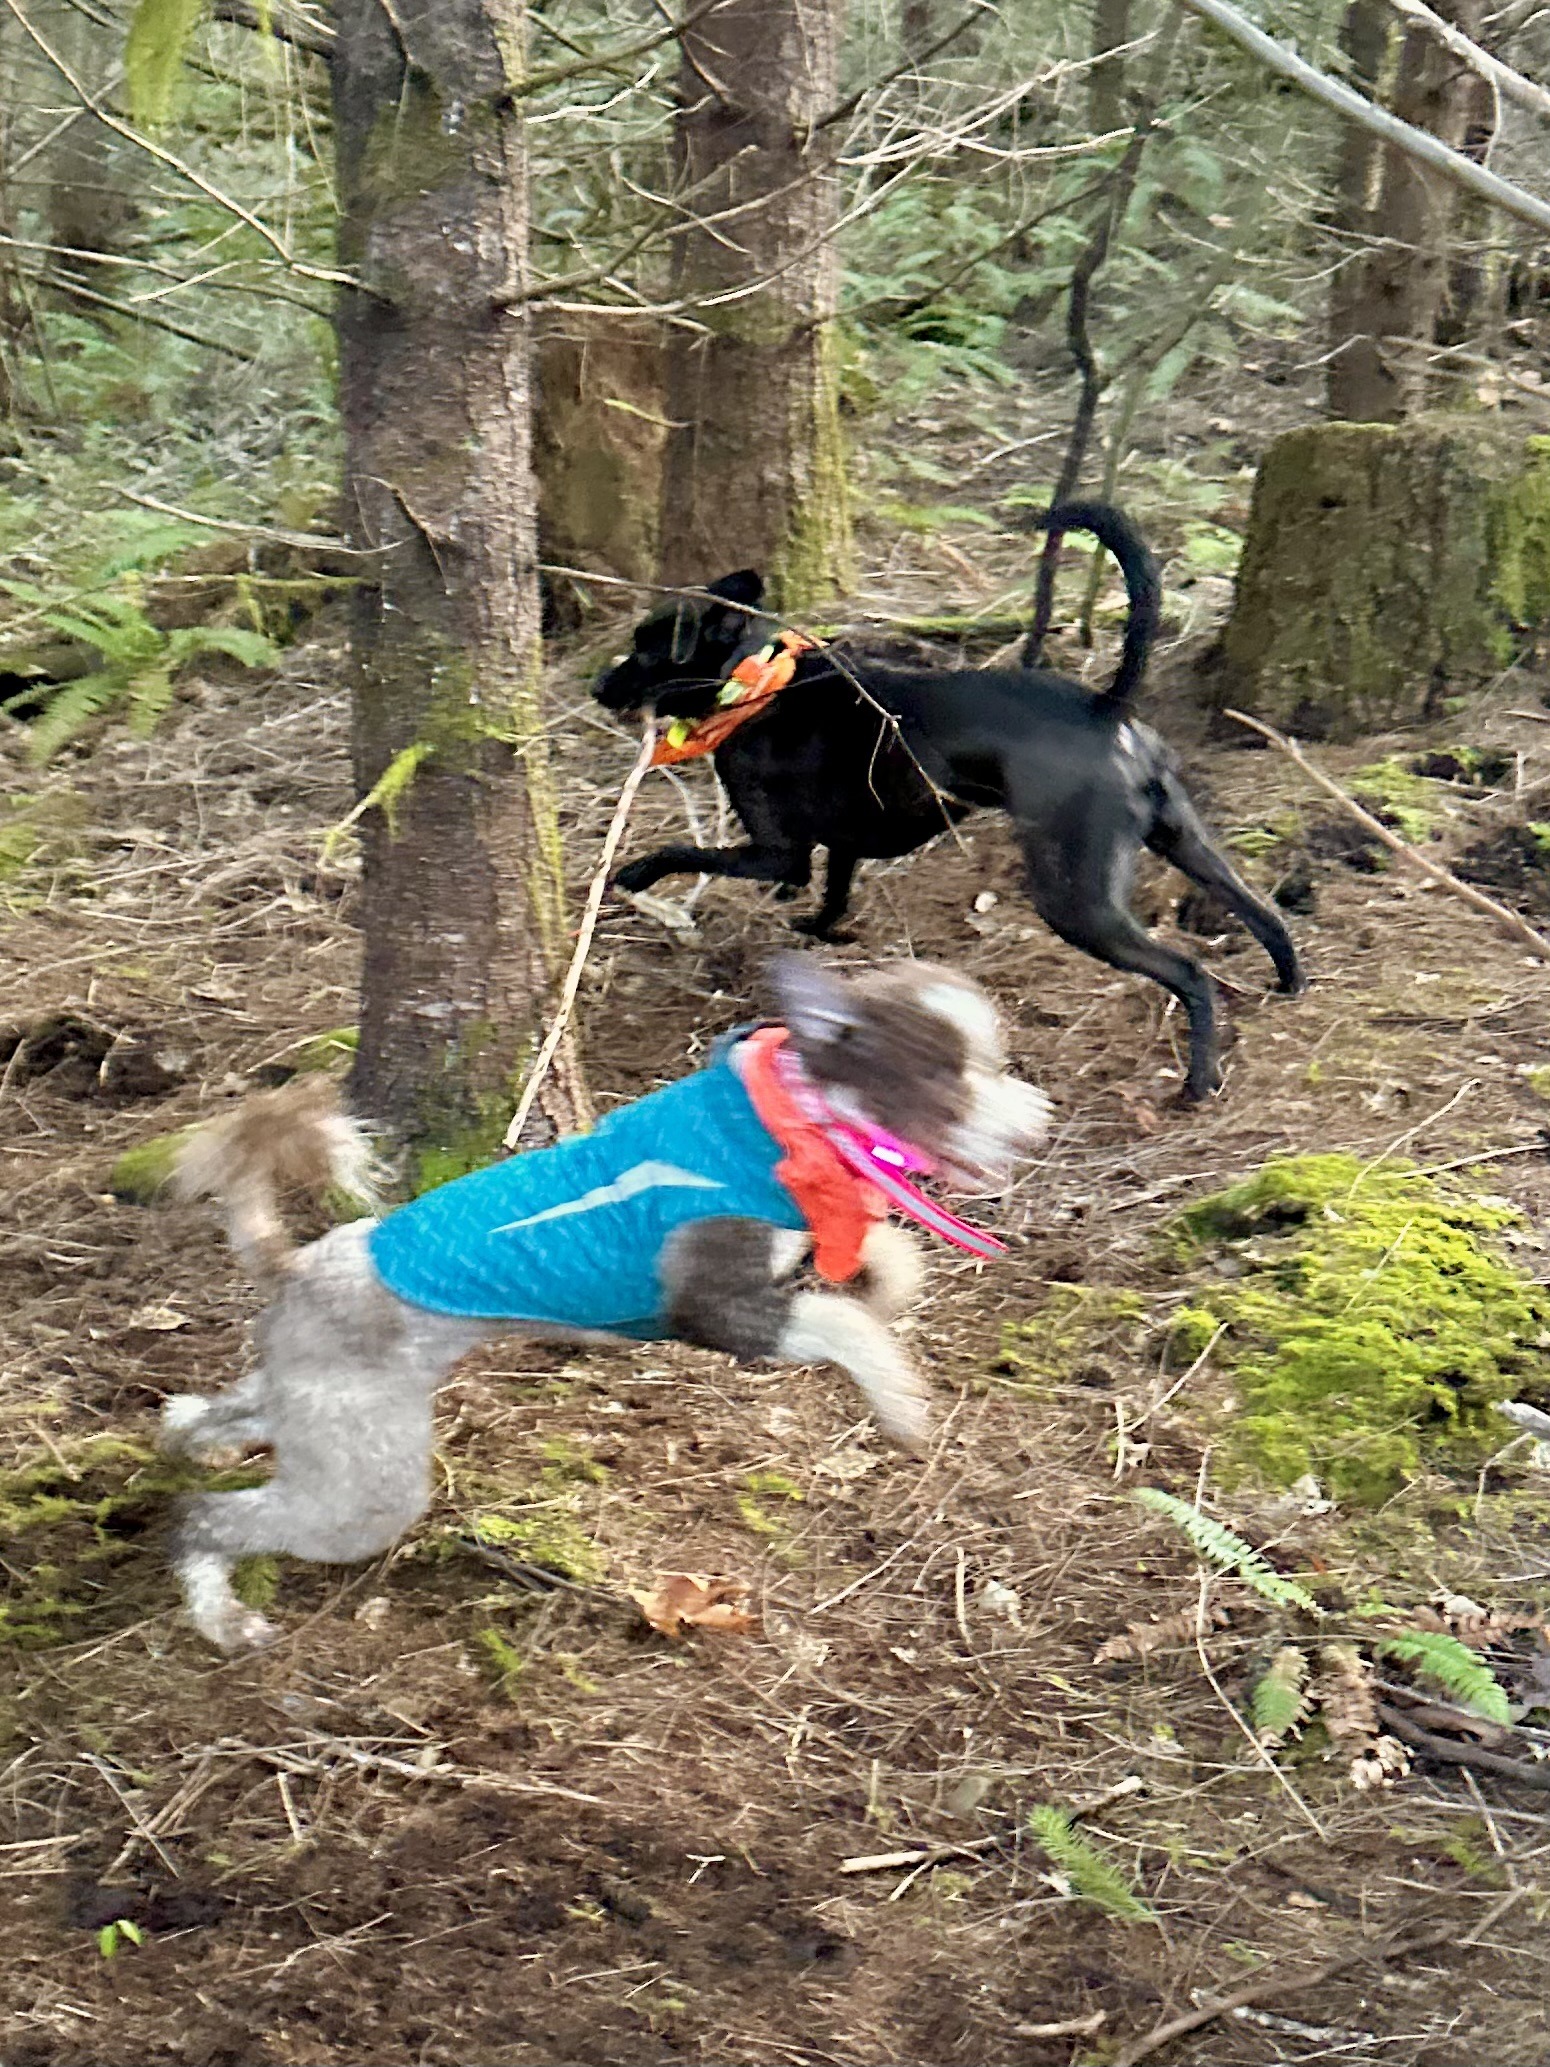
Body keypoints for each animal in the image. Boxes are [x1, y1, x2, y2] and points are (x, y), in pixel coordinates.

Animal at [599, 500, 1306, 1099]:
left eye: (644, 649)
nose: (597, 684)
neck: (758, 683)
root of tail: (1106, 709)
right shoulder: (841, 845)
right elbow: (837, 890)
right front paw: (822, 931)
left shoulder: (778, 855)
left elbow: (688, 851)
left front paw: (634, 873)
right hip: (1183, 839)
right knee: (1263, 911)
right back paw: (1289, 982)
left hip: (1075, 897)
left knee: (1189, 973)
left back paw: (1197, 1081)